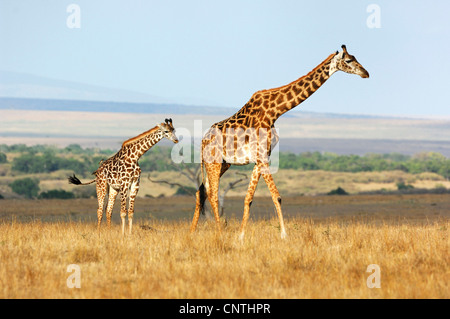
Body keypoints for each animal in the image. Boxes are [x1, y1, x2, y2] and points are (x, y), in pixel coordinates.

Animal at [190, 45, 370, 240]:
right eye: (349, 60)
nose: (366, 73)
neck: (275, 112)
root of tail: (202, 141)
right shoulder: (262, 157)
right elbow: (276, 196)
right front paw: (284, 235)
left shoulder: (261, 157)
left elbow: (249, 198)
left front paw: (241, 236)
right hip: (213, 162)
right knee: (213, 194)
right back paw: (220, 232)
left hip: (224, 163)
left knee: (201, 191)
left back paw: (192, 232)